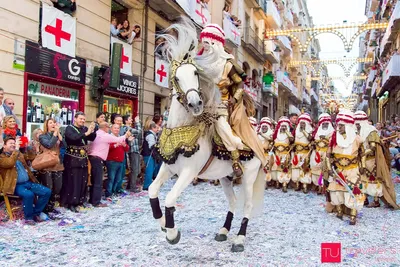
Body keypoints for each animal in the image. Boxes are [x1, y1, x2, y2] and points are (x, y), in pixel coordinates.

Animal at [147, 18, 266, 253]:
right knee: (232, 202)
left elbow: (170, 199)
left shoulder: (188, 172)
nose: (195, 104)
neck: (181, 128)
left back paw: (239, 239)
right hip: (226, 177)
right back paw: (223, 231)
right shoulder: (168, 167)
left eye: (195, 73)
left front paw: (172, 233)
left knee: (247, 205)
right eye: (176, 77)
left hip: (249, 176)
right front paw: (163, 224)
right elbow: (152, 191)